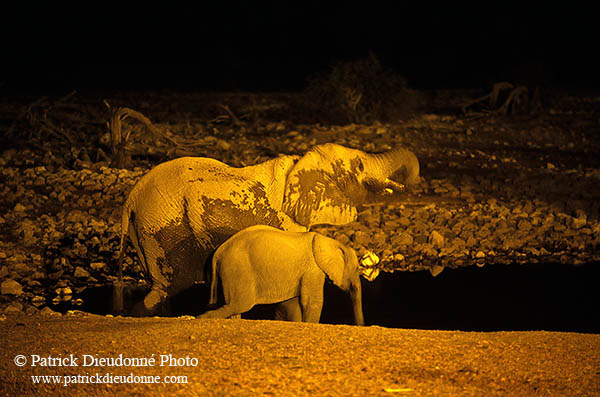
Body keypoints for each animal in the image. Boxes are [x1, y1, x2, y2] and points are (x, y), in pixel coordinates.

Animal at [199, 223, 364, 324]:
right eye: (357, 269)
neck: (331, 241)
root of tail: (219, 252)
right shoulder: (313, 269)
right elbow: (312, 301)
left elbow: (292, 304)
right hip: (238, 270)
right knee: (239, 304)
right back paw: (202, 317)